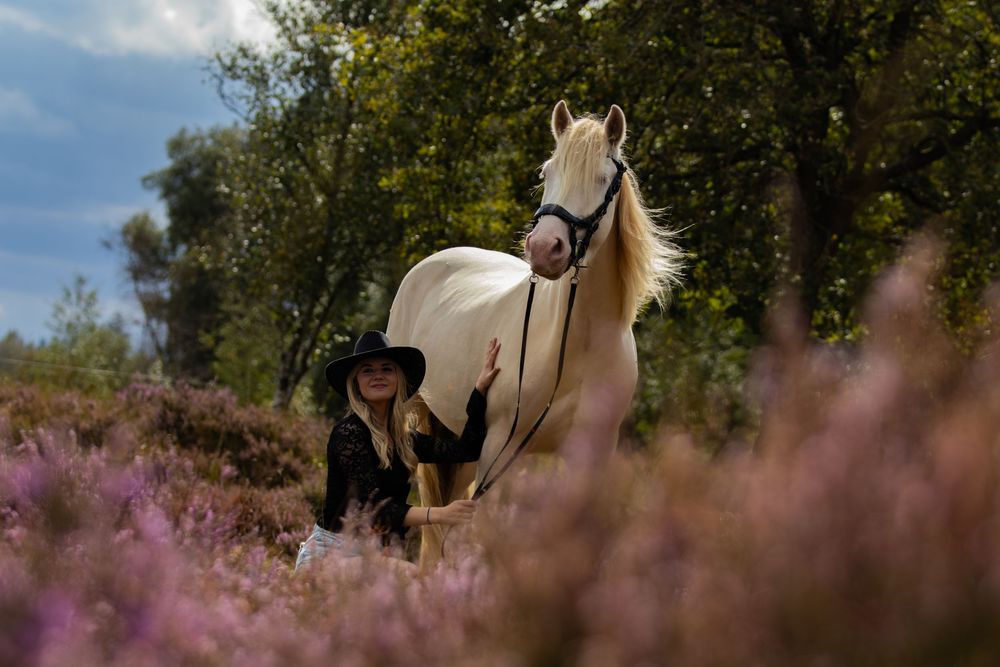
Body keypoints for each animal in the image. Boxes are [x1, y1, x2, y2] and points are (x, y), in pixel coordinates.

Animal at [387, 101, 683, 564]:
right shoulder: (500, 449)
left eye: (603, 178)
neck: (576, 345)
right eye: (548, 171)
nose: (544, 248)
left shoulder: (589, 456)